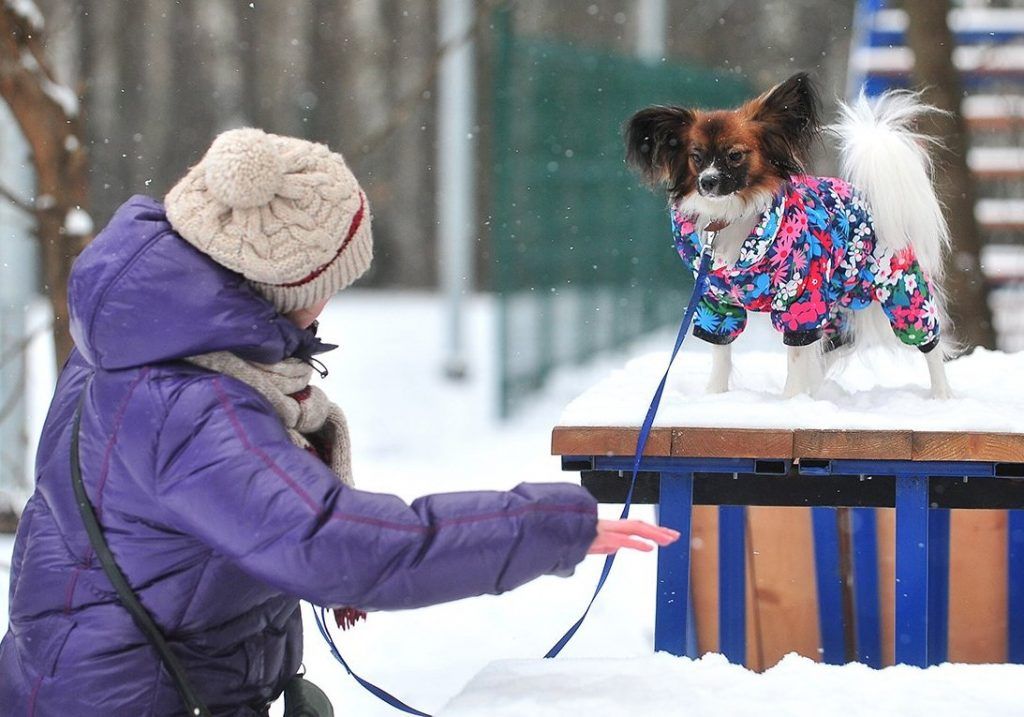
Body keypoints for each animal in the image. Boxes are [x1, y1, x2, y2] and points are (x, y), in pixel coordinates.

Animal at [622, 74, 950, 397]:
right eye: (696, 156)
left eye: (735, 155)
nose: (707, 182)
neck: (732, 216)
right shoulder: (715, 304)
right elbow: (721, 353)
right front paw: (715, 395)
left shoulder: (801, 301)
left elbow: (796, 356)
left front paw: (792, 401)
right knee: (831, 346)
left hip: (902, 291)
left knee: (929, 345)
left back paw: (941, 395)